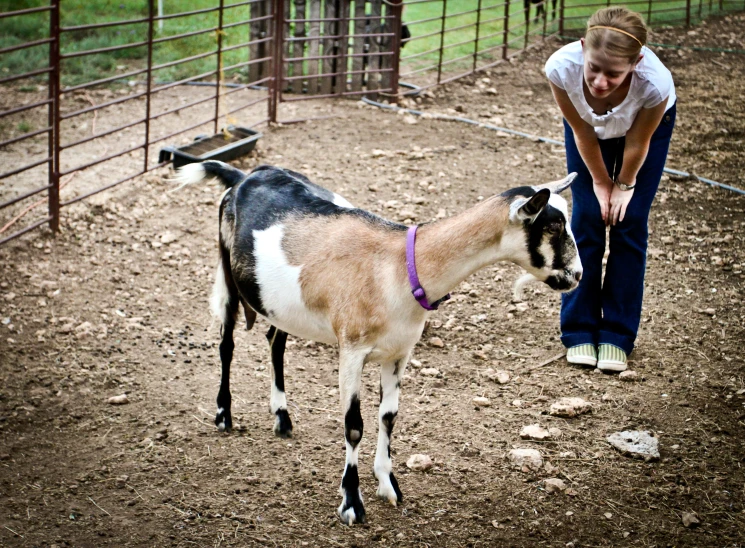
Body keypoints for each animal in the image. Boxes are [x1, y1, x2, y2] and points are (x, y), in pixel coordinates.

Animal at [173, 161, 580, 524]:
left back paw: (282, 417)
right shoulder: (352, 350)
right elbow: (354, 425)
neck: (399, 266)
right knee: (226, 344)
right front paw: (351, 504)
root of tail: (242, 176)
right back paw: (224, 414)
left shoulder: (398, 353)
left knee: (275, 341)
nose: (576, 275)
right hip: (227, 271)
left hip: (279, 303)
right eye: (554, 224)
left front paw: (388, 483)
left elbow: (389, 416)